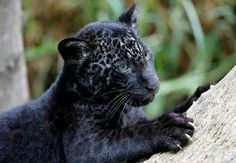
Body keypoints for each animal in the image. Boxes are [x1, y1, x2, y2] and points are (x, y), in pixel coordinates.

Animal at [0, 4, 208, 162]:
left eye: (147, 55)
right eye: (124, 67)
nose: (153, 84)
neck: (126, 110)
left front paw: (200, 92)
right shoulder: (87, 146)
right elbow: (130, 135)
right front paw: (169, 129)